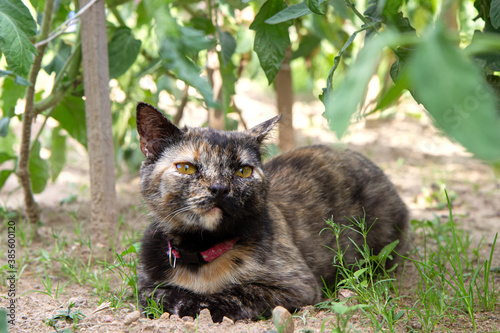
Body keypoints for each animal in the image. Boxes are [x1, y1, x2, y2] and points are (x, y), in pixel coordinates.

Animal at [135, 102, 408, 322]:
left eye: (243, 171)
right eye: (186, 168)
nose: (220, 188)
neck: (201, 253)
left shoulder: (297, 286)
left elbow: (235, 293)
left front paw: (189, 302)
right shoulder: (145, 281)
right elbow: (151, 294)